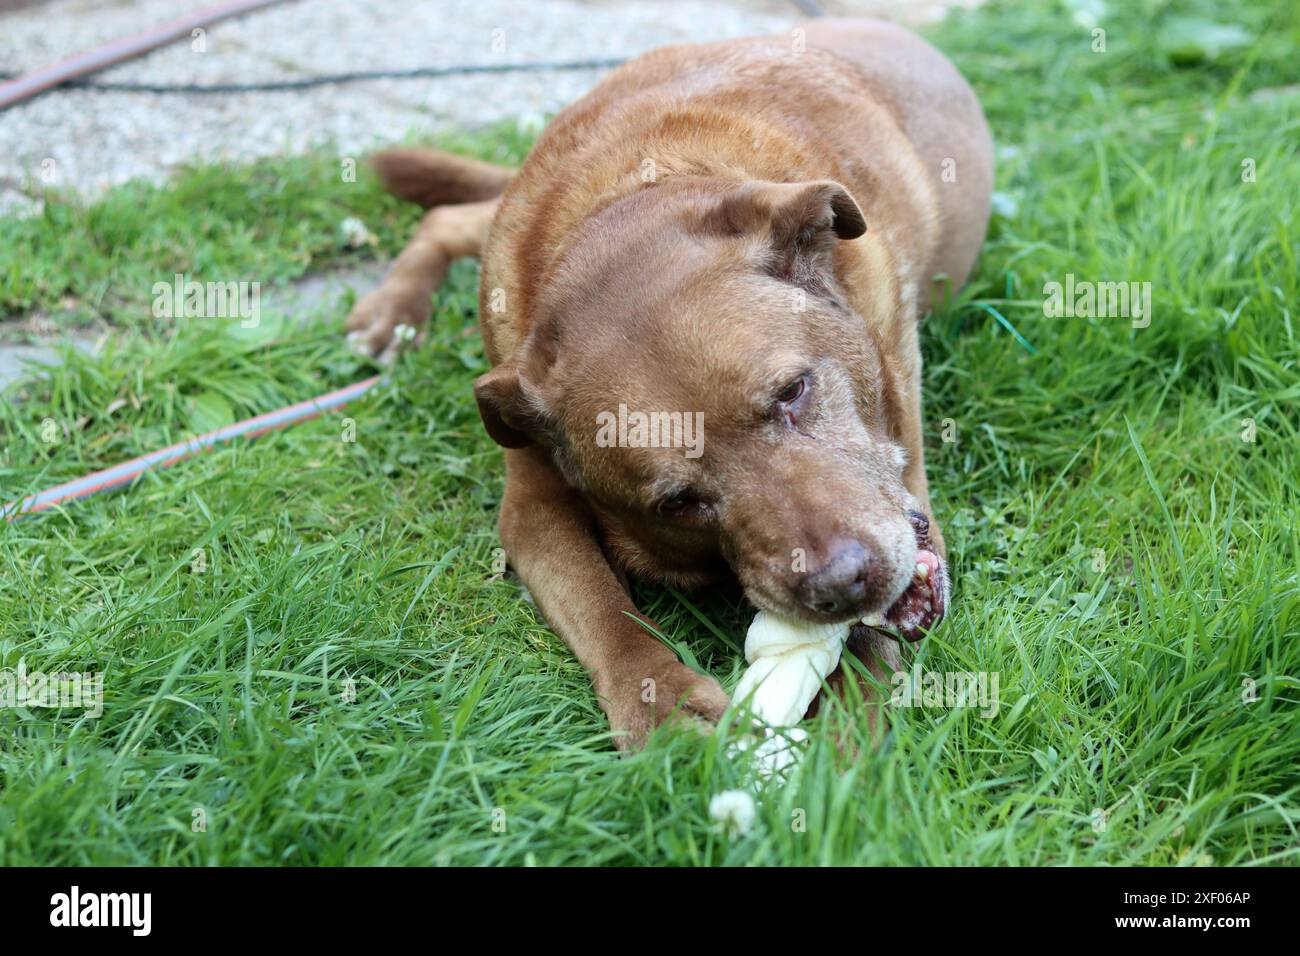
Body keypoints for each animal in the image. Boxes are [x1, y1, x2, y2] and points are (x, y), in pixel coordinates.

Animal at [345, 14, 993, 749]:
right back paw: (392, 313)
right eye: (680, 501)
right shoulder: (532, 503)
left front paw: (847, 726)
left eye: (793, 392)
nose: (842, 584)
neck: (620, 206)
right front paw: (660, 704)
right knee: (448, 218)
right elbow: (604, 610)